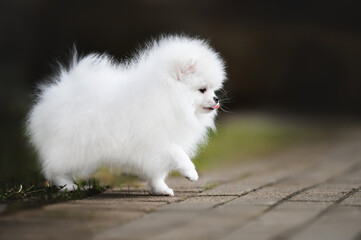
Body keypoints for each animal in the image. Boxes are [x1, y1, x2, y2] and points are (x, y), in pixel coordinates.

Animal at [26, 36, 225, 197]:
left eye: (214, 89)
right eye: (202, 89)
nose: (216, 99)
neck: (168, 96)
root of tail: (57, 94)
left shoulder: (153, 152)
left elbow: (157, 173)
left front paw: (161, 190)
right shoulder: (157, 140)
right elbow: (178, 154)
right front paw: (191, 173)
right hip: (74, 149)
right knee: (54, 170)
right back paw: (68, 186)